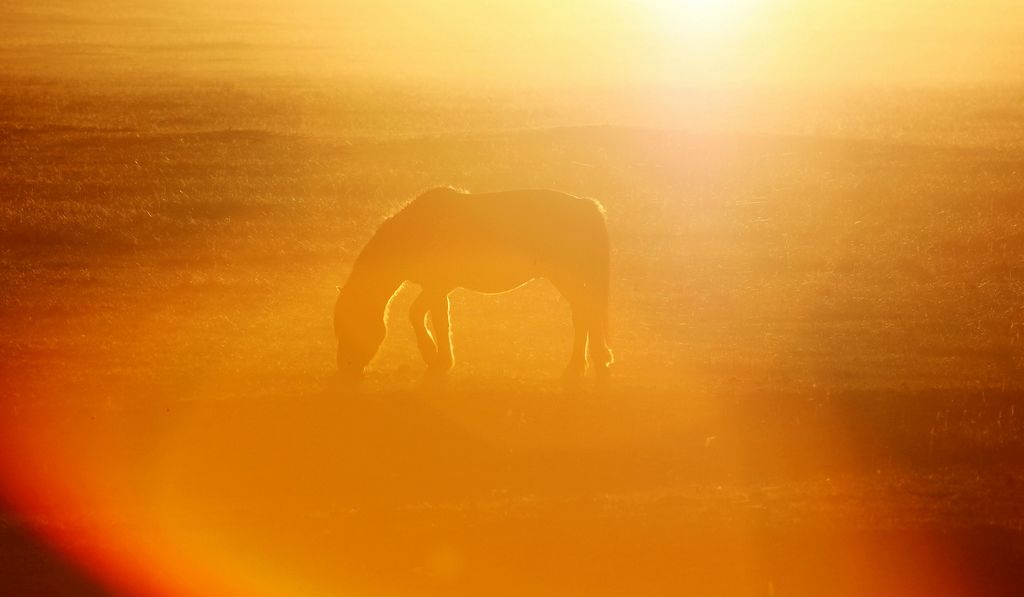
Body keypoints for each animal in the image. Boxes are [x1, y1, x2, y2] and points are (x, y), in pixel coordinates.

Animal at [331, 186, 610, 380]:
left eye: (348, 326)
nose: (346, 369)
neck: (416, 231)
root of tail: (586, 206)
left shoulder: (437, 286)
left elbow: (424, 315)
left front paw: (435, 358)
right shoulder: (437, 287)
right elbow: (433, 317)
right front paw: (439, 359)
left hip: (566, 277)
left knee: (585, 315)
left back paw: (581, 365)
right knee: (587, 315)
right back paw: (594, 361)